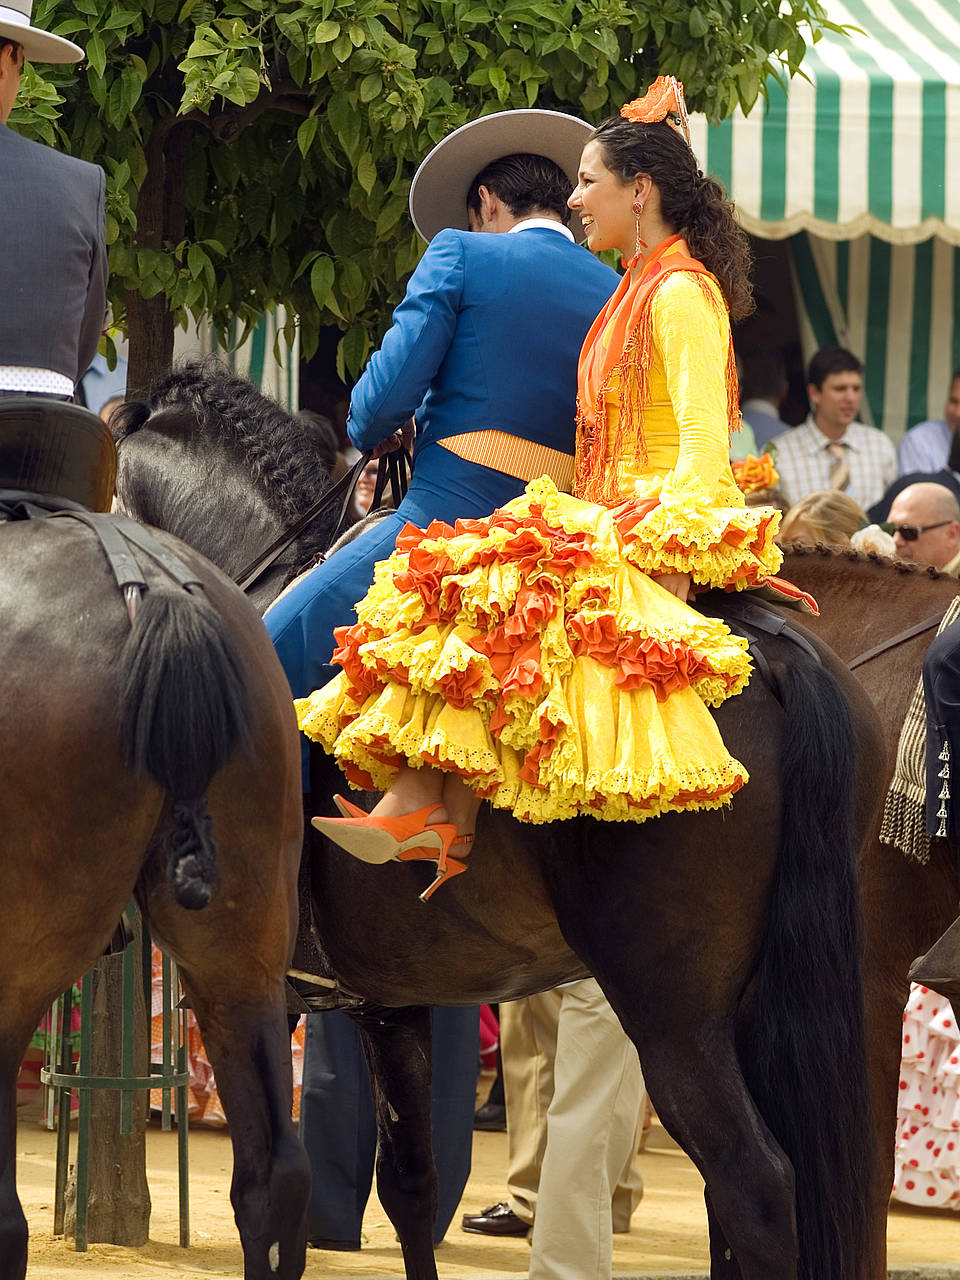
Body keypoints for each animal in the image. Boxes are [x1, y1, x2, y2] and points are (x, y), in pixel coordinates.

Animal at [116, 368, 890, 1280]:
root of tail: (774, 654)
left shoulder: (248, 984)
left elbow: (271, 1193)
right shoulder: (389, 1001)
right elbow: (410, 1186)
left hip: (671, 1008)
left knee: (755, 1185)